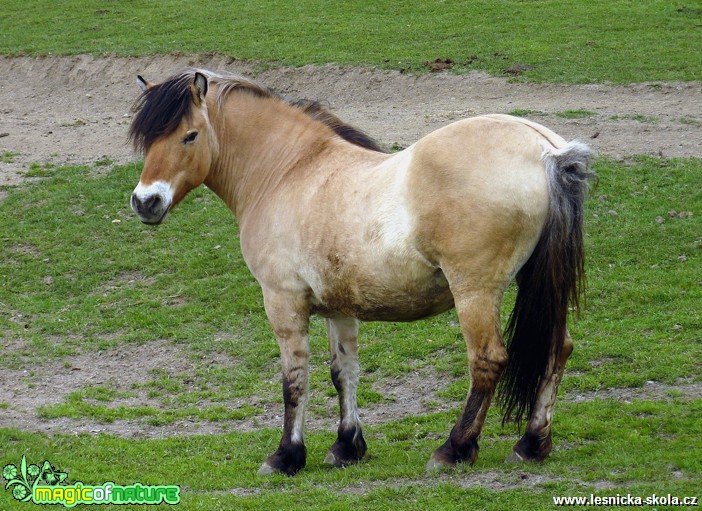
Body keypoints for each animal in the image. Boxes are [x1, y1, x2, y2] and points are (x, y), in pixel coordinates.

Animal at [128, 67, 592, 476]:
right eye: (148, 139)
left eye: (190, 135)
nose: (145, 202)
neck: (288, 171)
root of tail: (547, 150)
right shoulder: (338, 306)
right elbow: (343, 371)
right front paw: (346, 446)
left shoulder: (283, 302)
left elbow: (294, 379)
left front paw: (286, 456)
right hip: (540, 283)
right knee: (558, 348)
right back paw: (531, 444)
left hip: (475, 292)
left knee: (487, 360)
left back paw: (454, 449)